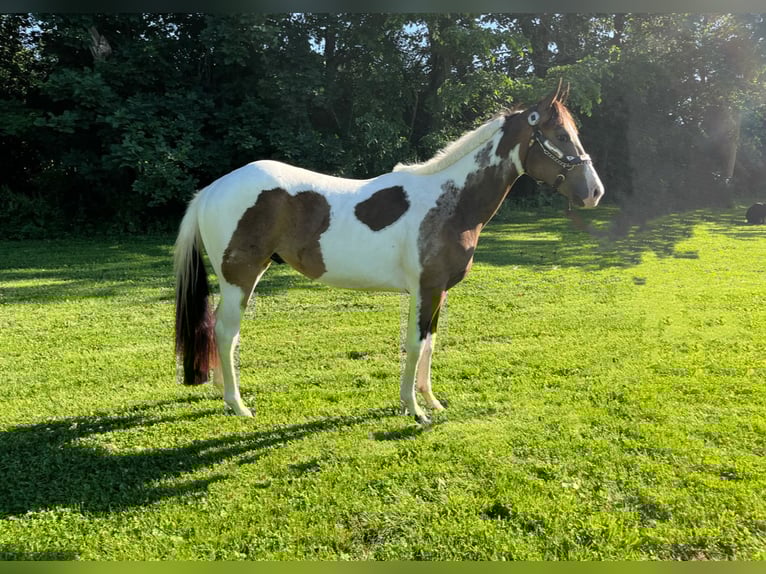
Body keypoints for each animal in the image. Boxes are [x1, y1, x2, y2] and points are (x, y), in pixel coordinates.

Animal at [174, 82, 605, 425]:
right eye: (560, 135)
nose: (594, 192)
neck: (450, 201)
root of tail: (211, 189)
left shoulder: (437, 291)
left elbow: (430, 342)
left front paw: (432, 401)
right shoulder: (425, 289)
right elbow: (414, 344)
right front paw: (414, 410)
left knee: (220, 331)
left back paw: (223, 395)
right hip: (241, 278)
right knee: (226, 332)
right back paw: (238, 404)